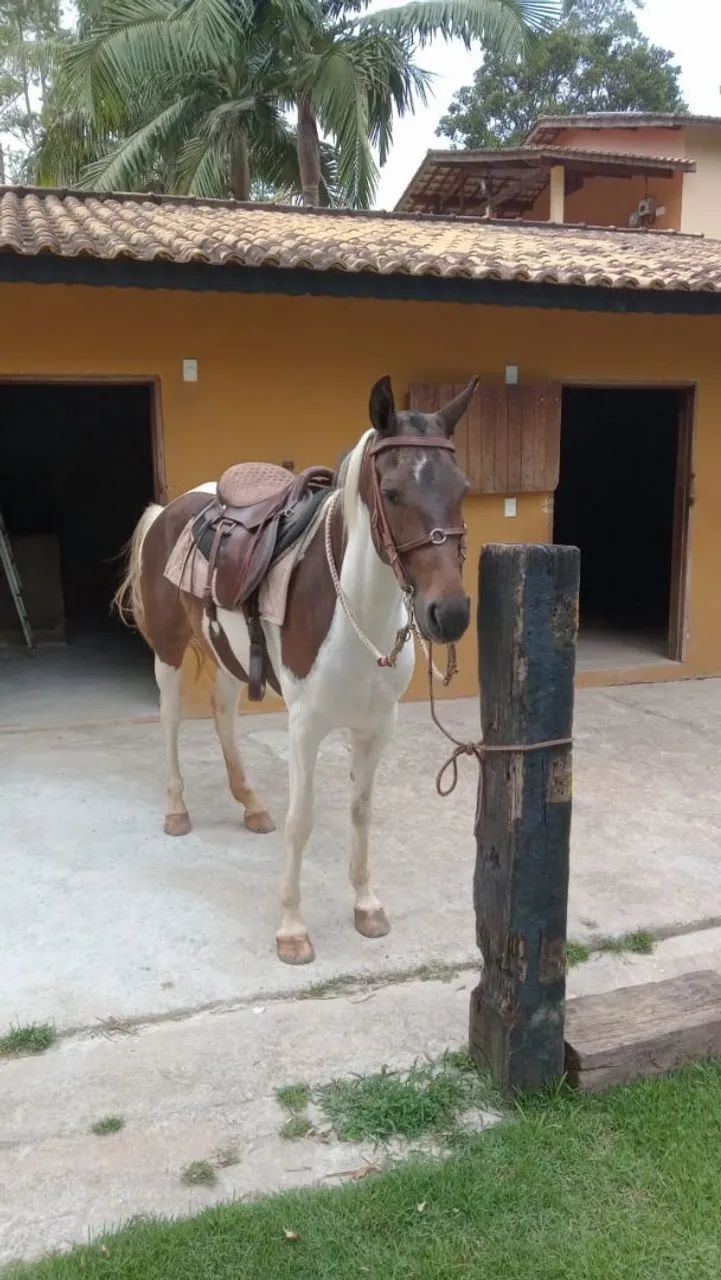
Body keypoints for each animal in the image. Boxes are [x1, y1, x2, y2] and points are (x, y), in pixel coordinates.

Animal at [115, 374, 477, 964]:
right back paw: (177, 810)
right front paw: (291, 928)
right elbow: (301, 821)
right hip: (167, 652)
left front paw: (367, 906)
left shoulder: (377, 726)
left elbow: (360, 810)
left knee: (222, 714)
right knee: (170, 720)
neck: (356, 613)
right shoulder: (305, 726)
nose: (448, 614)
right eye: (392, 492)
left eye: (462, 488)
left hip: (228, 654)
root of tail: (171, 507)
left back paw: (249, 802)